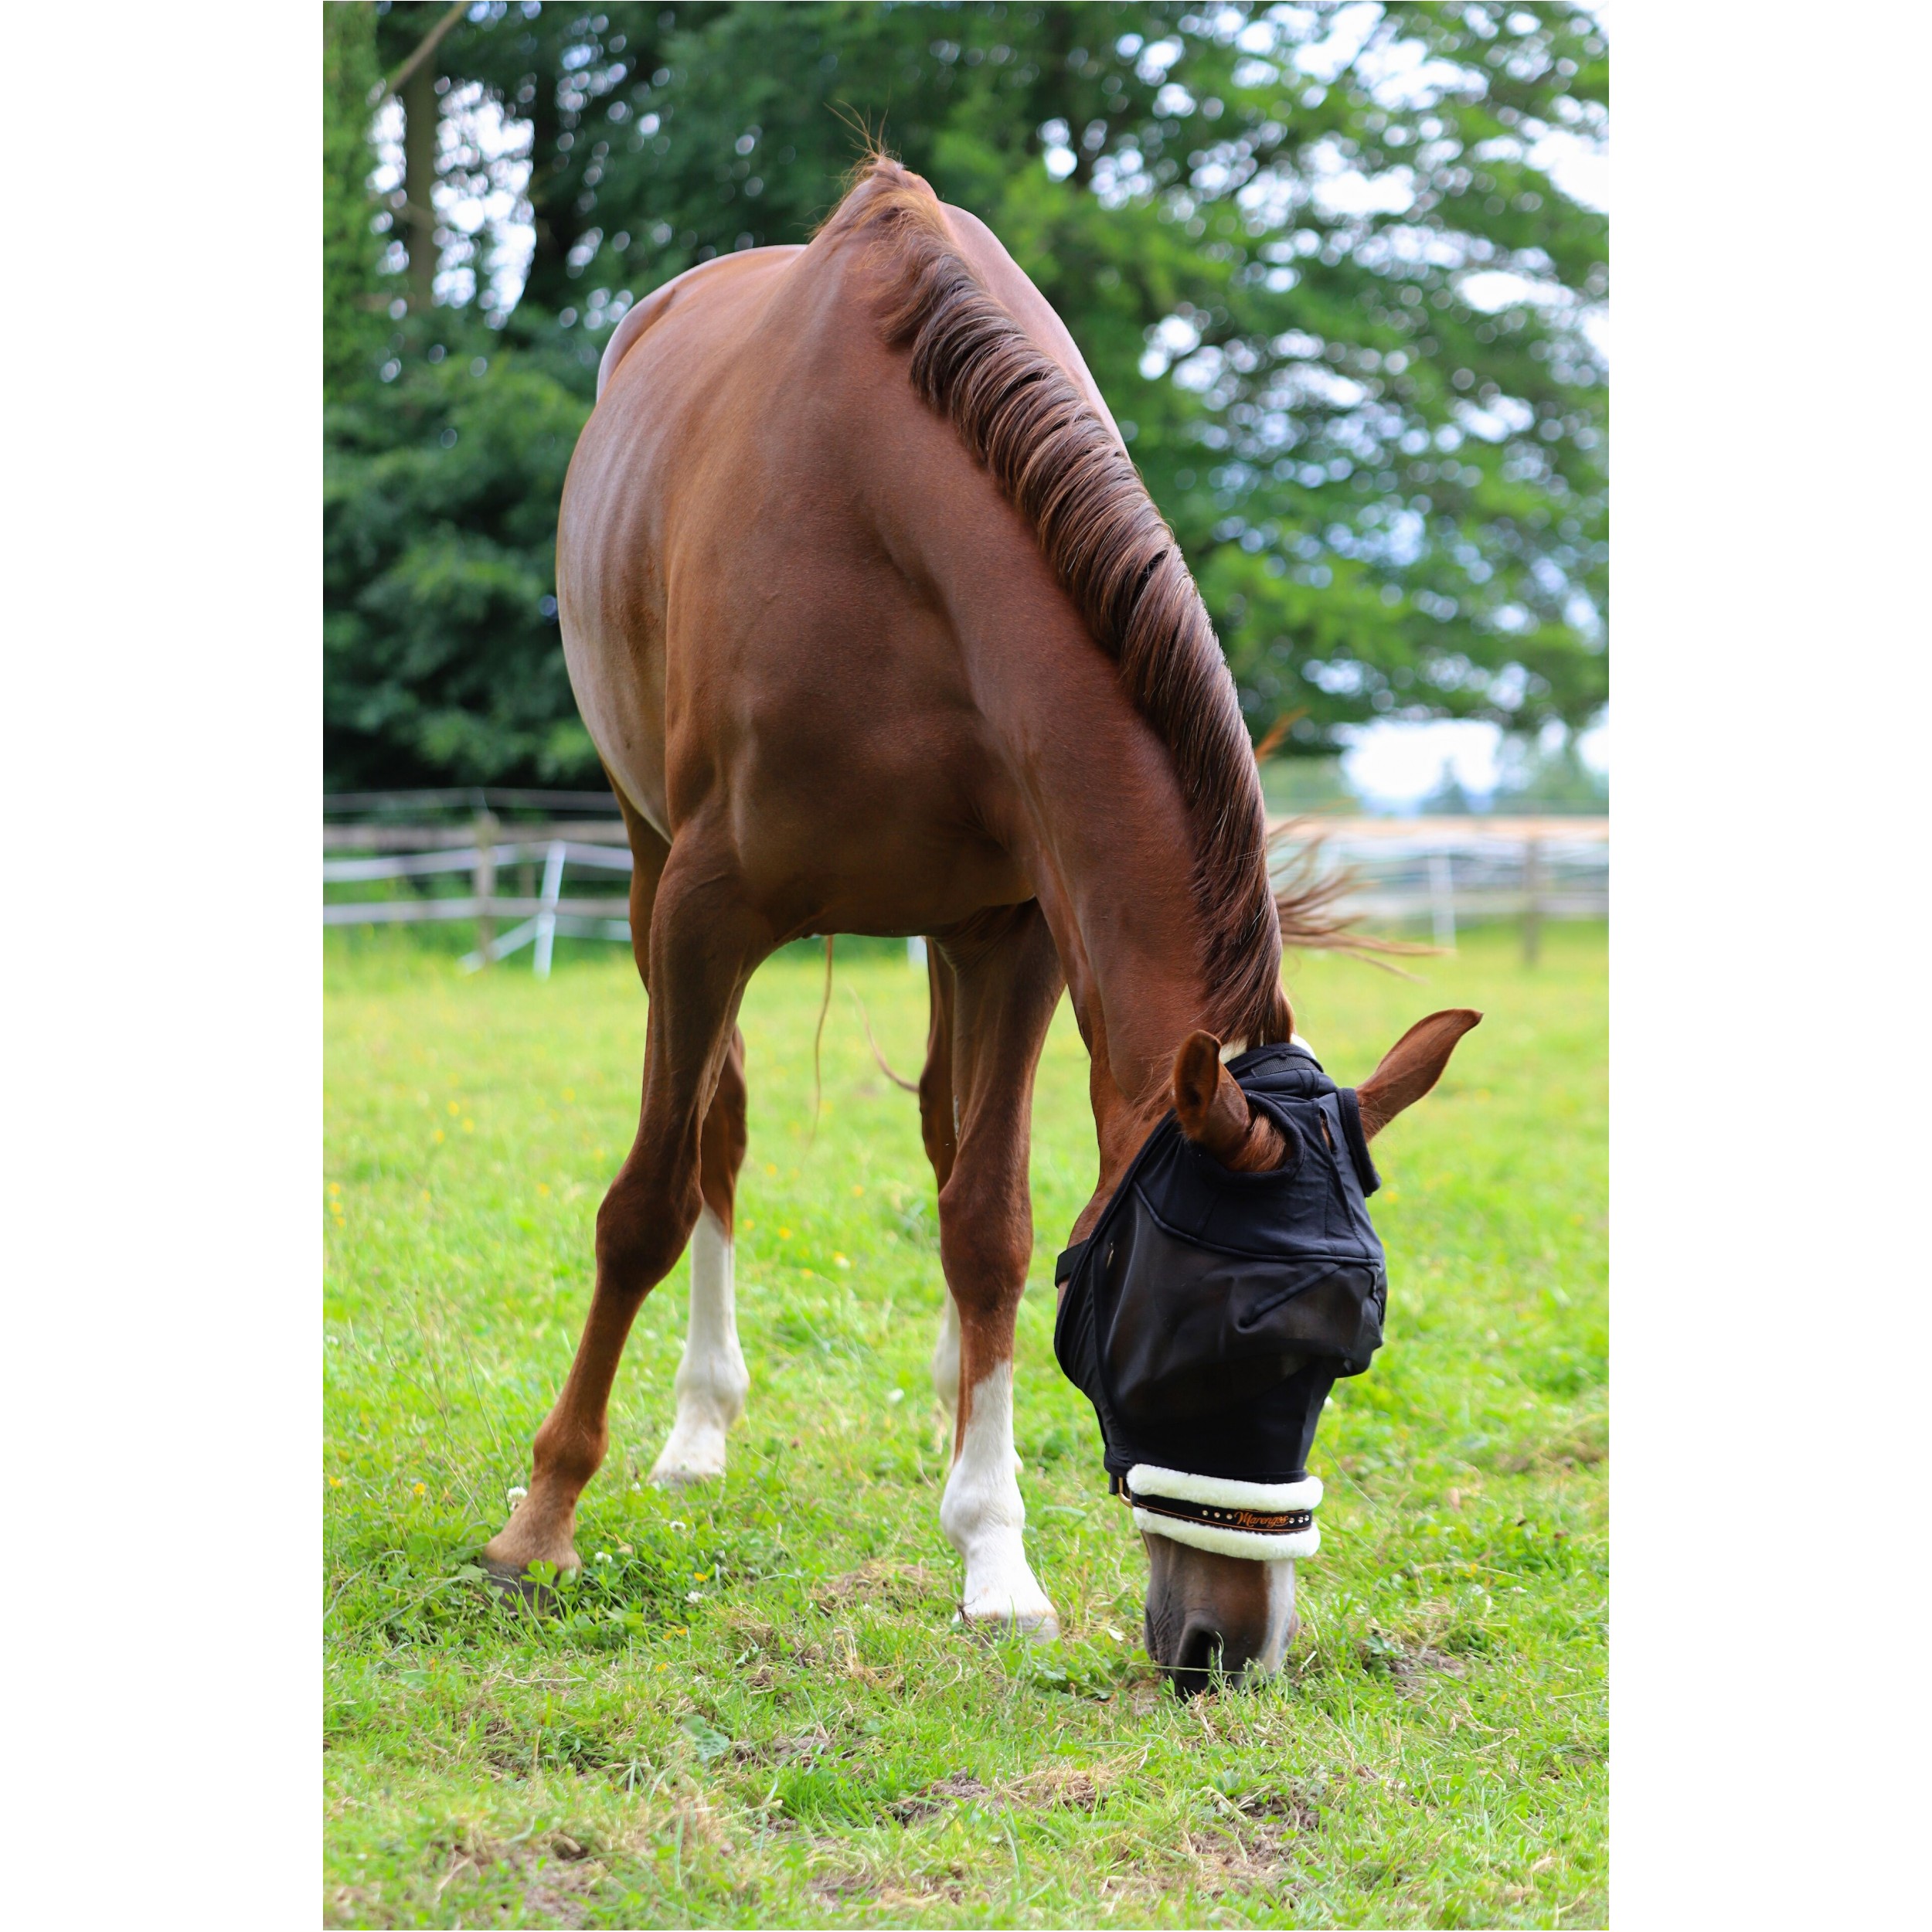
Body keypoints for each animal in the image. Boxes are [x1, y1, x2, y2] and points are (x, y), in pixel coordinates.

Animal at [475, 158, 1468, 1685]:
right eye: (1212, 1338)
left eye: (1345, 1356)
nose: (1227, 1651)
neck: (894, 527)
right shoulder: (707, 910)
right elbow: (645, 1201)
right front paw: (541, 1522)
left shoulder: (1018, 932)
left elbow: (989, 1222)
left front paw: (994, 1550)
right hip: (648, 868)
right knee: (715, 1132)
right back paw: (698, 1428)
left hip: (944, 935)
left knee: (945, 1143)